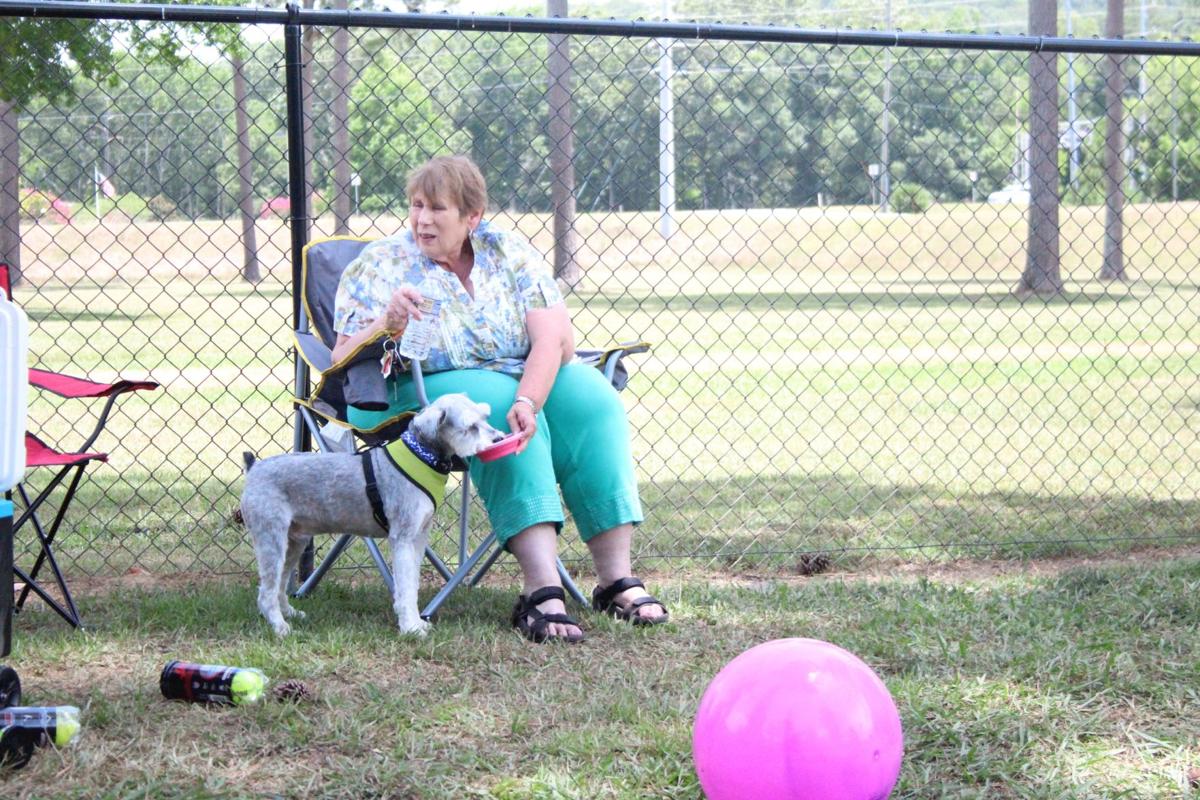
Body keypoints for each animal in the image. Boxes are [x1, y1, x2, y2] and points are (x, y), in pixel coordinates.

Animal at [238, 393, 506, 638]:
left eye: (485, 417)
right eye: (470, 426)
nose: (499, 439)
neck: (422, 455)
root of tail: (254, 467)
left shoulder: (419, 538)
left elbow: (413, 585)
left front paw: (417, 623)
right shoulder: (403, 539)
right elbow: (405, 587)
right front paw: (411, 628)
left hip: (295, 543)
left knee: (280, 584)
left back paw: (290, 613)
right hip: (272, 539)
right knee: (266, 592)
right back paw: (280, 626)